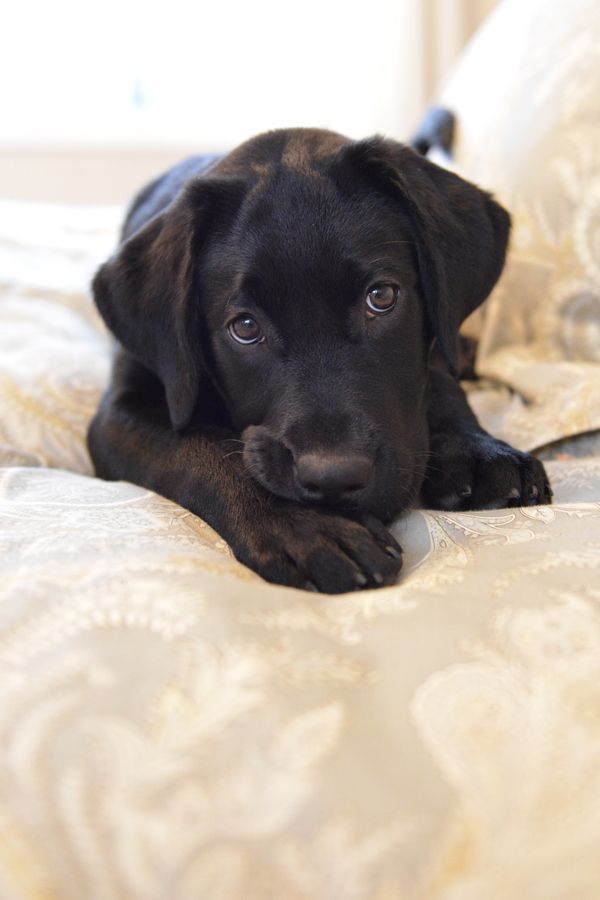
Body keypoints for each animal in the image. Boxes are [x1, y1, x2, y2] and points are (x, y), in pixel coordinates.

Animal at [86, 126, 552, 592]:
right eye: (245, 327)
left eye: (381, 297)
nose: (334, 478)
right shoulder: (122, 412)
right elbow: (201, 448)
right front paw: (309, 526)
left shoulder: (433, 345)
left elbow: (439, 381)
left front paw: (480, 450)